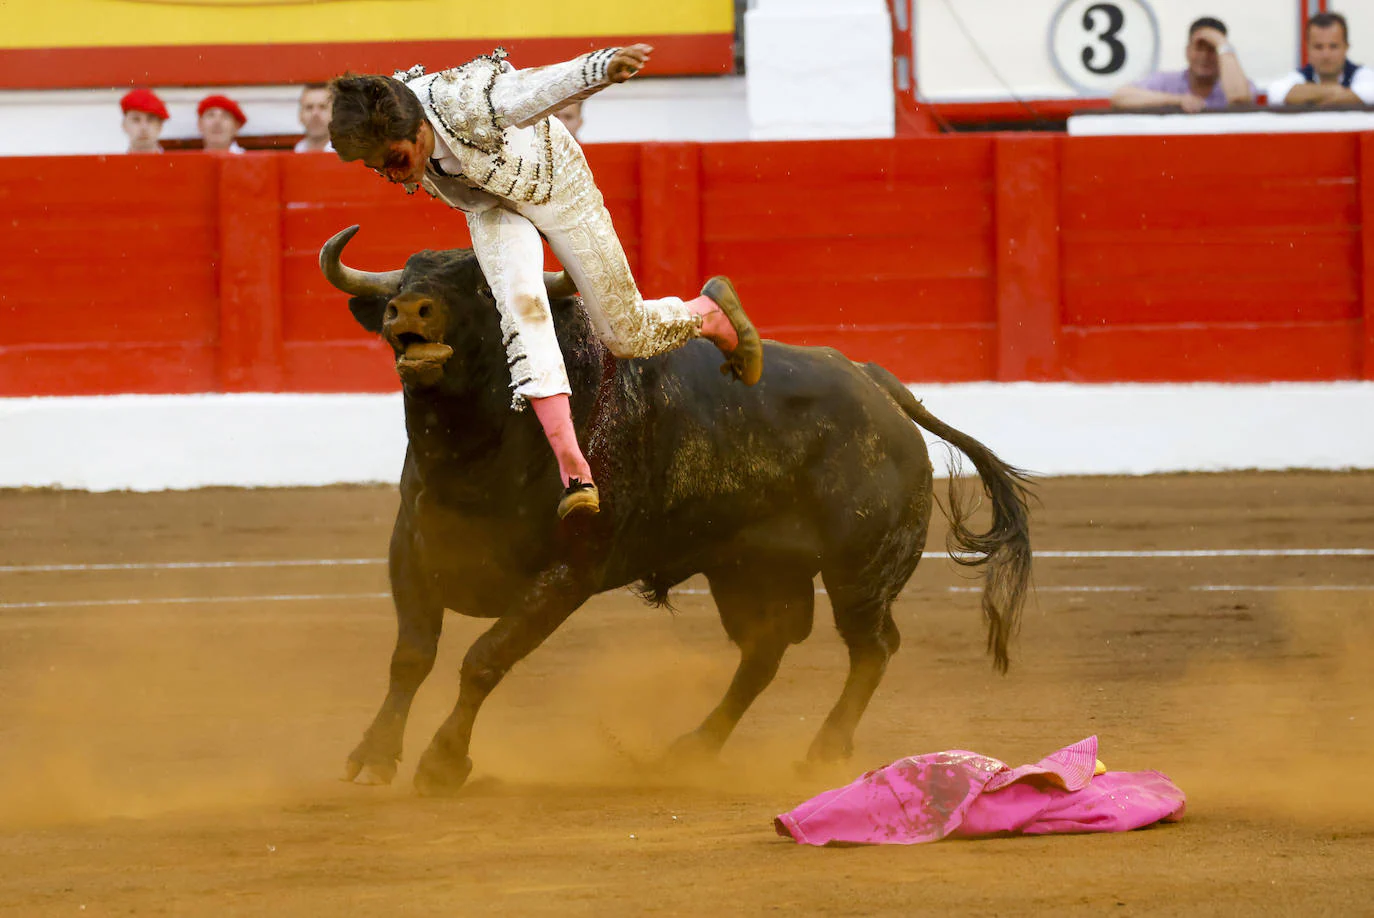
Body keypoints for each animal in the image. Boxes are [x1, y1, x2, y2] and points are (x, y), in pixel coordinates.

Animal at [321, 225, 1033, 791]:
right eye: (405, 278)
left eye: (481, 288)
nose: (407, 309)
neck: (476, 450)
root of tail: (876, 382)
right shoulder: (412, 552)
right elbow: (411, 657)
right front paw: (372, 756)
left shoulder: (568, 574)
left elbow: (483, 659)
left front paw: (443, 763)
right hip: (752, 572)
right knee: (765, 651)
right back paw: (691, 749)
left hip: (859, 572)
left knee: (872, 648)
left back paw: (820, 752)